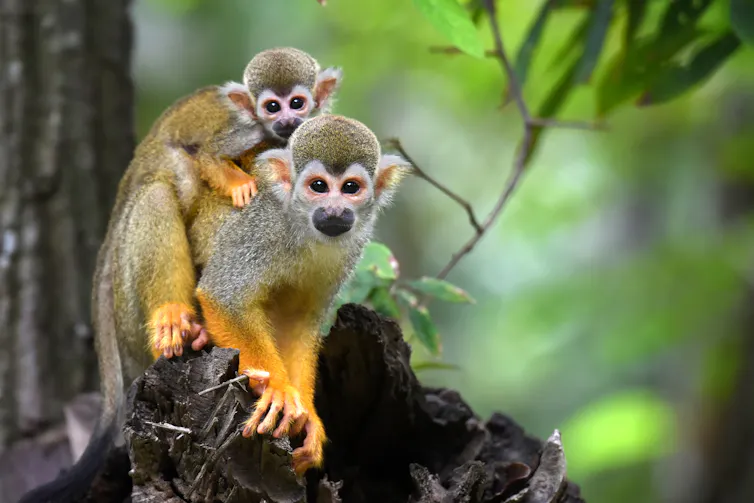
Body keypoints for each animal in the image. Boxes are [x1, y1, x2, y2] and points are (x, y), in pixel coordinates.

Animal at [16, 48, 342, 503]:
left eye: (298, 102)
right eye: (272, 106)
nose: (286, 121)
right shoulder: (247, 134)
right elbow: (213, 159)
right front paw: (239, 182)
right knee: (165, 186)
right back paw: (173, 314)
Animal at [195, 114, 411, 475]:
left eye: (350, 188)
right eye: (319, 187)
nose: (335, 211)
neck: (303, 229)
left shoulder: (349, 251)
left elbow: (297, 321)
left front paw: (307, 415)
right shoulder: (260, 227)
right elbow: (223, 297)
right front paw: (279, 390)